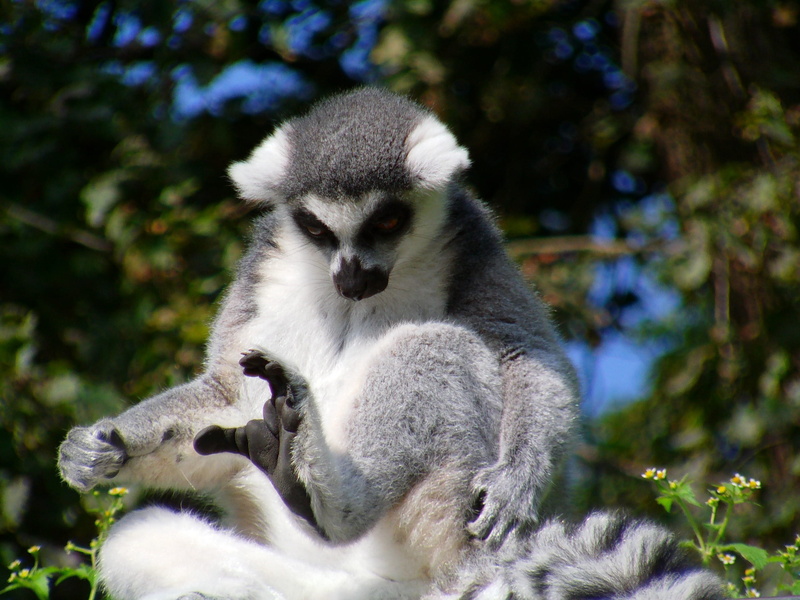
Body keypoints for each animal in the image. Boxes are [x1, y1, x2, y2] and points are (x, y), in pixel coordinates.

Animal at [58, 88, 722, 599]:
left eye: (388, 221)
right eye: (315, 228)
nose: (351, 276)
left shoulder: (473, 240)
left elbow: (525, 354)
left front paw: (517, 478)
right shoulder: (261, 264)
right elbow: (225, 391)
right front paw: (103, 448)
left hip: (441, 526)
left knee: (436, 349)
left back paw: (321, 497)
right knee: (137, 538)